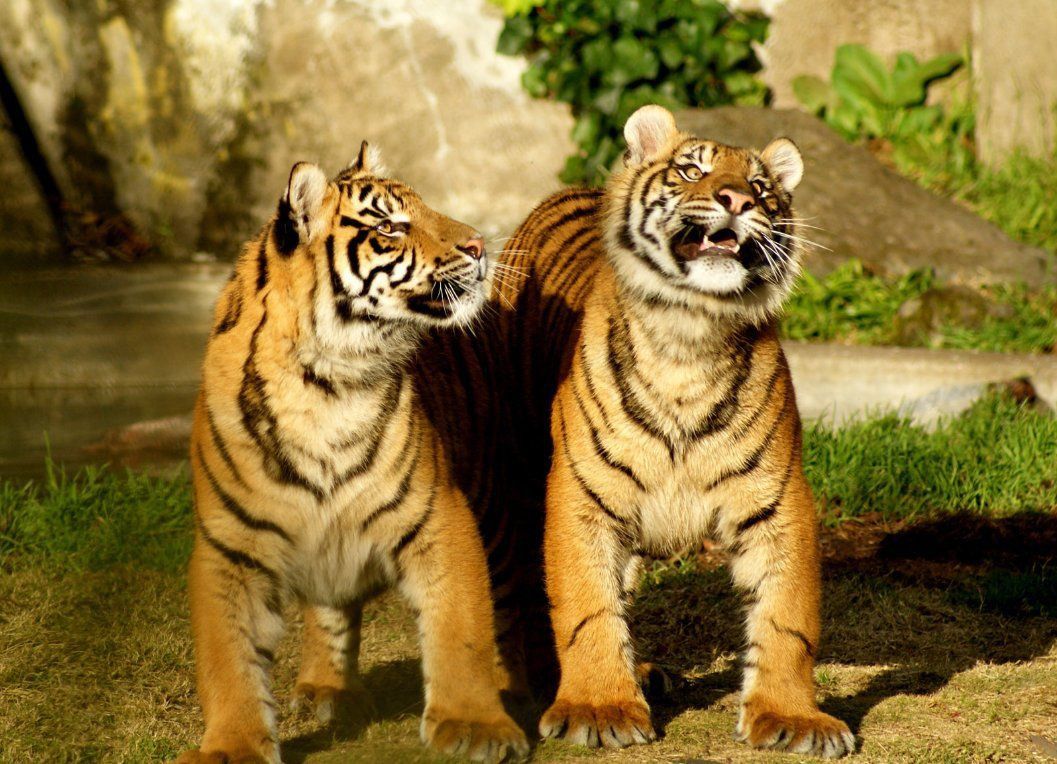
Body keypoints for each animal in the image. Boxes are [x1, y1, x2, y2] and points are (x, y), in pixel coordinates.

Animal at [177, 143, 528, 764]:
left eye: (424, 206)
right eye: (389, 227)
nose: (480, 246)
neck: (324, 385)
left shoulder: (442, 515)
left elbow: (460, 628)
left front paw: (474, 723)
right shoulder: (229, 545)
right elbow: (227, 660)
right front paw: (233, 746)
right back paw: (327, 691)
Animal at [477, 104, 857, 757]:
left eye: (761, 188)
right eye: (691, 170)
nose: (736, 199)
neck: (691, 334)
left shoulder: (780, 501)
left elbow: (787, 617)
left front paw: (791, 717)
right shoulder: (579, 498)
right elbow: (585, 607)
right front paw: (599, 708)